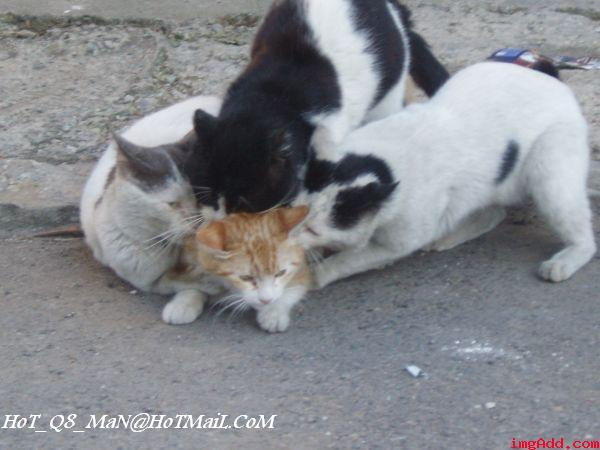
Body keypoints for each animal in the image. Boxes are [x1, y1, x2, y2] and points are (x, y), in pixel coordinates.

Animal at [190, 0, 448, 216]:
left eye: (244, 203)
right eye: (207, 193)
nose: (222, 218)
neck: (271, 96)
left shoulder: (329, 127)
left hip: (387, 93)